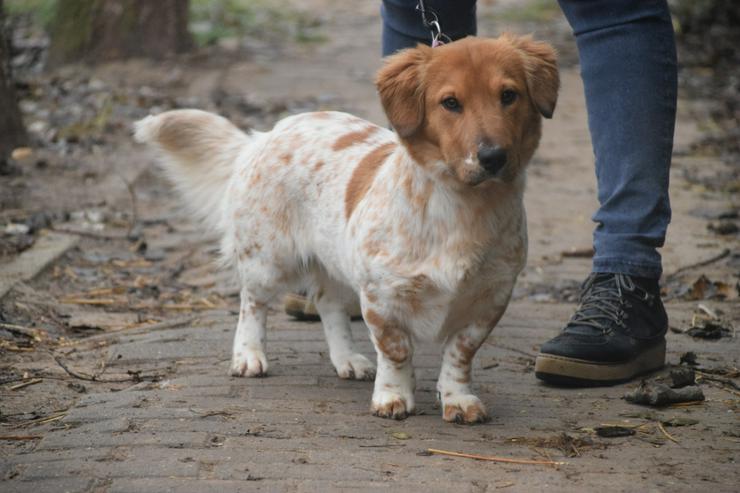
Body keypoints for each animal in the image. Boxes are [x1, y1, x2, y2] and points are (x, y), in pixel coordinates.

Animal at [136, 34, 556, 422]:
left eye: (508, 95)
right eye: (450, 102)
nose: (493, 157)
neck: (462, 209)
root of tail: (262, 137)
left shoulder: (489, 299)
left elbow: (459, 354)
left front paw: (457, 398)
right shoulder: (381, 296)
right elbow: (396, 350)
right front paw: (393, 396)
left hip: (334, 260)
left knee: (329, 305)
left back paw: (347, 359)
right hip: (268, 260)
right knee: (251, 304)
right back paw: (249, 356)